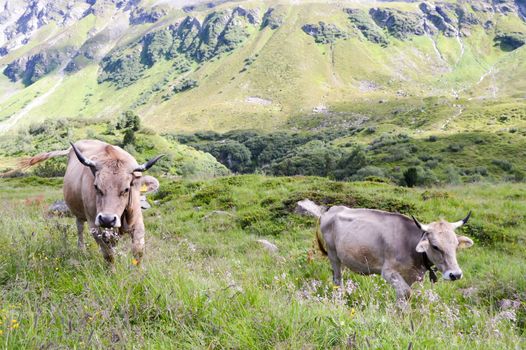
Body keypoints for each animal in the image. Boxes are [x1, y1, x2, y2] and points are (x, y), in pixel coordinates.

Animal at [17, 139, 163, 266]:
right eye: (96, 187)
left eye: (127, 189)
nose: (107, 219)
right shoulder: (94, 225)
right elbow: (108, 255)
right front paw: (111, 274)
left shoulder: (137, 222)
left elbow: (138, 252)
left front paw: (137, 274)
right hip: (79, 213)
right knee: (80, 228)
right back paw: (81, 250)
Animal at [300, 201, 476, 300]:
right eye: (435, 246)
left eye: (455, 245)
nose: (455, 274)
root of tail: (330, 211)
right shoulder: (388, 272)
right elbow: (406, 293)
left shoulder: (410, 276)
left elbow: (404, 294)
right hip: (333, 255)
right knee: (337, 279)